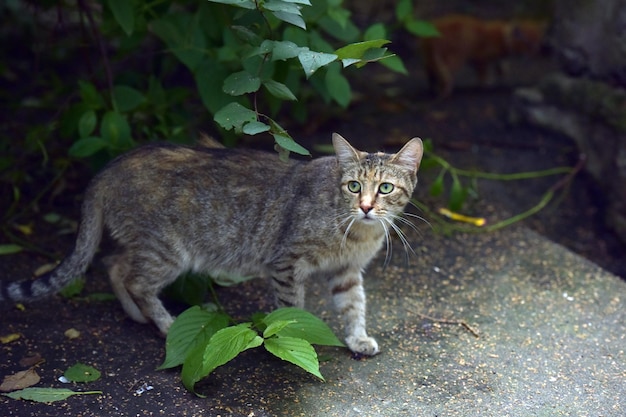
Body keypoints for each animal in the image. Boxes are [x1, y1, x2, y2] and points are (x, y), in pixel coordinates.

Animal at [0, 133, 422, 354]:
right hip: (167, 250)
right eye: (353, 186)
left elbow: (354, 306)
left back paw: (135, 314)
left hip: (147, 246)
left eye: (385, 188)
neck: (356, 233)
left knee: (113, 265)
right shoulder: (286, 263)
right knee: (134, 278)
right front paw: (294, 336)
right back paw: (165, 323)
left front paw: (357, 338)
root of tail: (107, 169)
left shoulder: (347, 272)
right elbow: (291, 308)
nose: (366, 206)